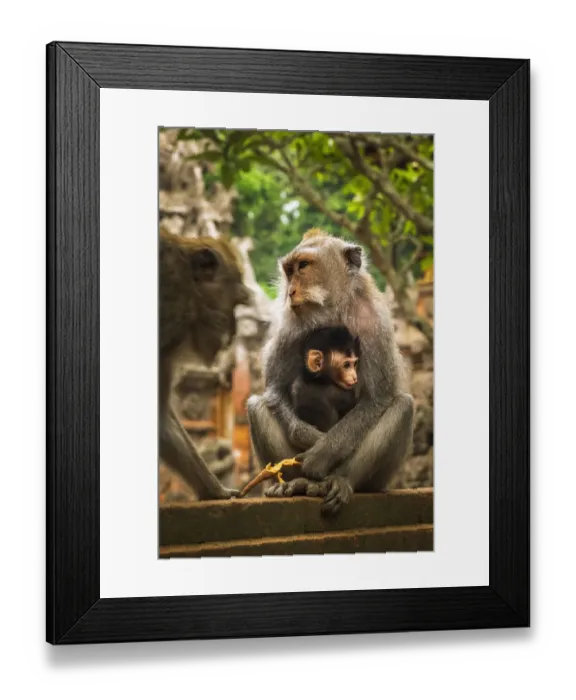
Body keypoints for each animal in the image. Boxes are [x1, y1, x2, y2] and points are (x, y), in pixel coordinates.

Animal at [246, 228, 414, 515]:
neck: (331, 310)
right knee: (257, 406)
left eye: (303, 266)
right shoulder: (290, 329)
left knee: (403, 406)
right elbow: (275, 391)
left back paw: (339, 481)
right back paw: (293, 484)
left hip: (377, 480)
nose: (291, 292)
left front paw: (321, 453)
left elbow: (377, 399)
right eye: (289, 270)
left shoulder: (374, 324)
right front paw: (310, 437)